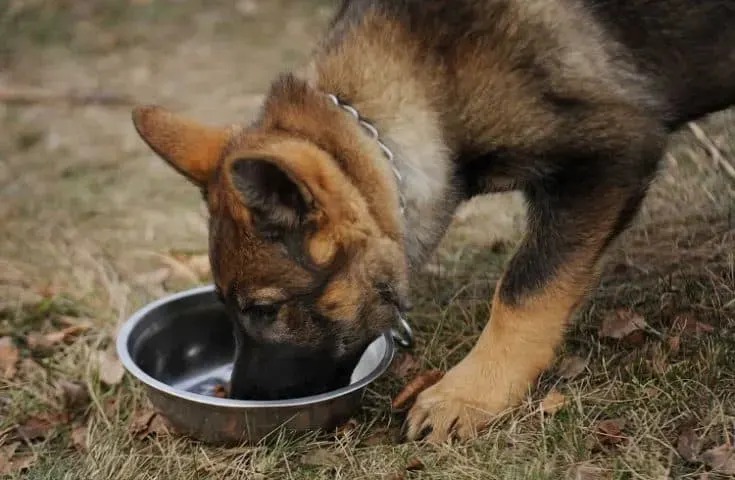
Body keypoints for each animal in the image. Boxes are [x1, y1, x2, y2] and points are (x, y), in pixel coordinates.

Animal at [131, 0, 735, 442]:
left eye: (263, 310)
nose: (241, 401)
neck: (427, 81)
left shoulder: (613, 153)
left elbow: (525, 287)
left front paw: (471, 392)